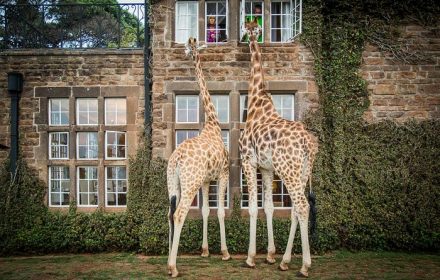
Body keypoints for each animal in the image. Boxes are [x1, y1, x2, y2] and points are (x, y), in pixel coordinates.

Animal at [167, 37, 232, 278]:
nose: (192, 46)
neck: (213, 123)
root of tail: (176, 159)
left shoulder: (205, 180)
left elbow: (205, 211)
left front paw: (205, 250)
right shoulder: (223, 173)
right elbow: (220, 212)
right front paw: (225, 252)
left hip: (173, 182)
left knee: (169, 214)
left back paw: (168, 260)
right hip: (190, 182)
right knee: (179, 214)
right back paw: (173, 267)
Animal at [239, 19, 318, 278]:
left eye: (247, 27)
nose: (246, 36)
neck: (257, 101)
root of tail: (308, 144)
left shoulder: (248, 161)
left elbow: (253, 208)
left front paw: (251, 258)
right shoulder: (267, 168)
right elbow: (269, 207)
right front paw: (271, 255)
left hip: (289, 170)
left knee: (302, 205)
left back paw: (304, 265)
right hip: (302, 171)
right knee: (296, 208)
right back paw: (285, 261)